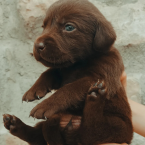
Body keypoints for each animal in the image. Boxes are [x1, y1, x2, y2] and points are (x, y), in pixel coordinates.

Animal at [2, 0, 133, 145]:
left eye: (69, 27)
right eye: (44, 26)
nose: (37, 45)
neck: (76, 65)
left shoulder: (102, 75)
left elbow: (70, 88)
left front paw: (45, 105)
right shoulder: (62, 71)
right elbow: (49, 72)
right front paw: (33, 90)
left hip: (117, 126)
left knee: (93, 128)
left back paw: (95, 96)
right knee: (37, 136)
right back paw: (14, 124)